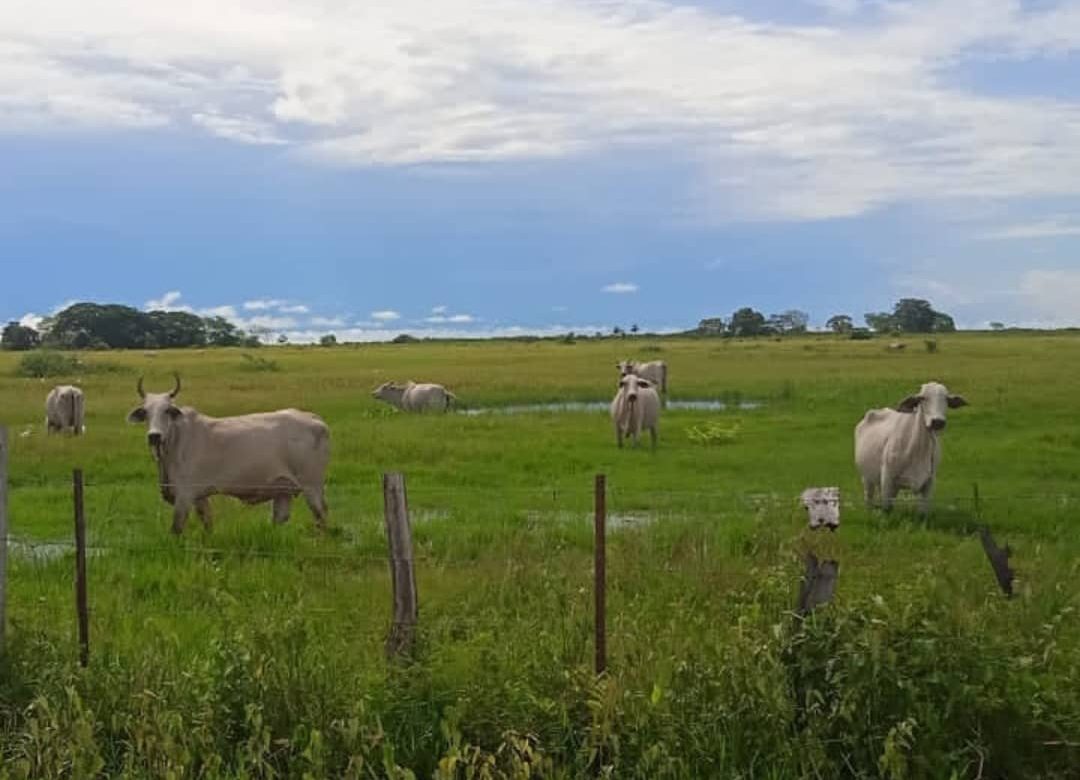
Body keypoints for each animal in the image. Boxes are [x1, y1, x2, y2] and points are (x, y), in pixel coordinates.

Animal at [125, 373, 328, 531]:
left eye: (167, 410)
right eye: (145, 412)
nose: (154, 436)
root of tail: (315, 419)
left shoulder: (185, 494)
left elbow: (177, 527)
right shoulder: (200, 497)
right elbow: (207, 524)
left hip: (312, 486)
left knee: (321, 514)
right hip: (283, 490)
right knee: (280, 518)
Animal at [851, 380, 972, 514]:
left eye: (946, 398)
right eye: (922, 398)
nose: (937, 421)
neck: (918, 449)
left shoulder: (929, 483)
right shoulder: (887, 479)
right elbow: (887, 509)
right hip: (867, 479)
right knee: (869, 498)